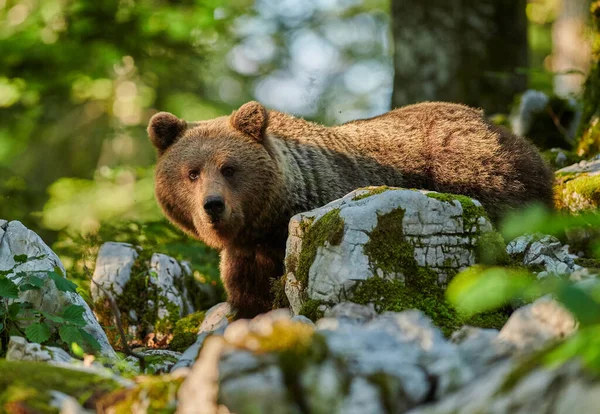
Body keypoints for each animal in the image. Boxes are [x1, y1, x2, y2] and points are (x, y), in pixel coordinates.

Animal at [149, 102, 552, 318]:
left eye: (229, 168)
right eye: (192, 172)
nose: (212, 205)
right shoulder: (247, 255)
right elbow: (251, 299)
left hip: (480, 173)